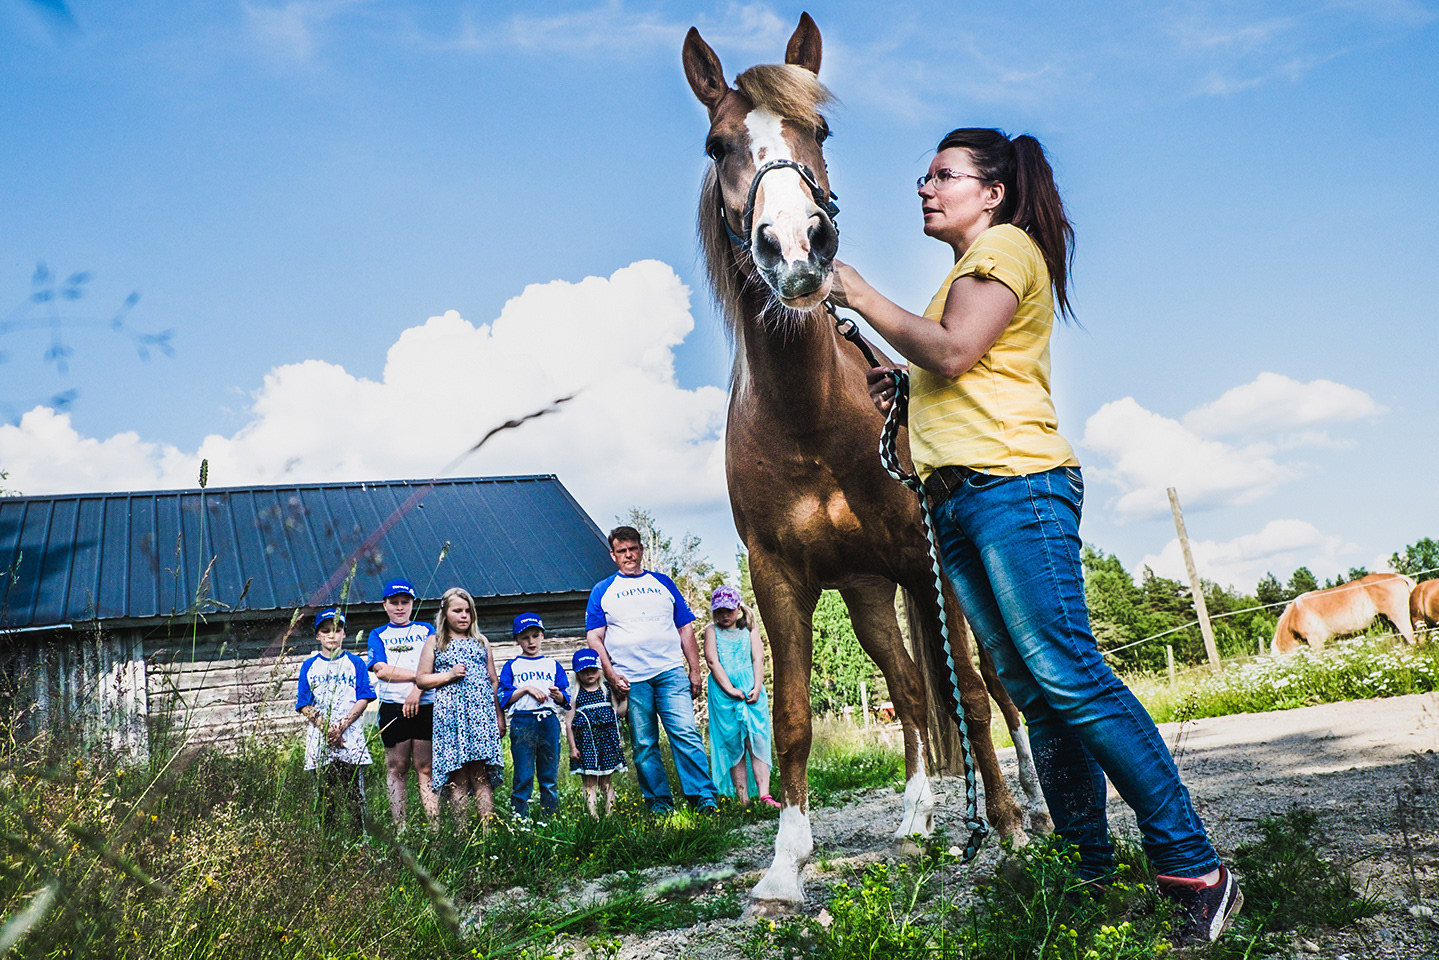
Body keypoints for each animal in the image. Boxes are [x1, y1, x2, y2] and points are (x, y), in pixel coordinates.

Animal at [682, 14, 1044, 911]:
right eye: (716, 143)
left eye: (818, 130)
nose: (796, 249)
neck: (809, 422)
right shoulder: (781, 579)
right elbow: (794, 718)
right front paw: (784, 868)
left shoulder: (930, 562)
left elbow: (973, 700)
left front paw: (1009, 832)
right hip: (867, 595)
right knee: (911, 692)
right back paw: (917, 823)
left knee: (998, 689)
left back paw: (1032, 804)